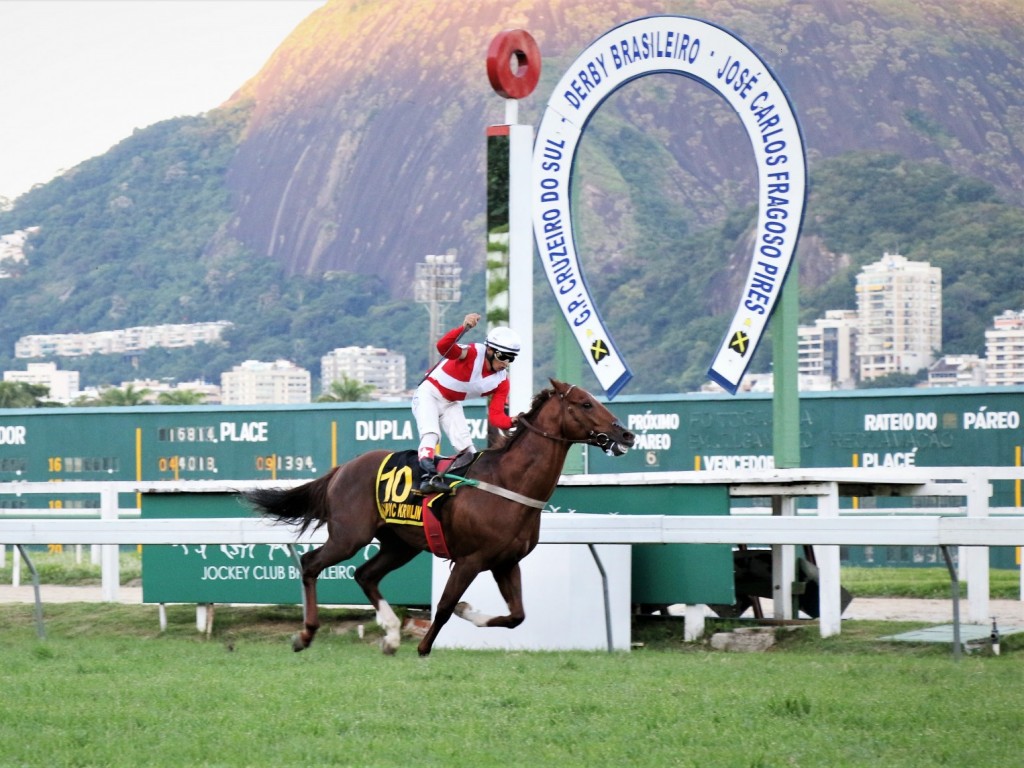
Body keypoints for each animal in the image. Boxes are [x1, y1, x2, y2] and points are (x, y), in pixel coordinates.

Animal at [243, 378, 634, 655]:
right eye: (586, 403)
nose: (626, 433)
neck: (507, 482)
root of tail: (343, 468)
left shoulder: (506, 562)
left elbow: (516, 616)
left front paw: (464, 612)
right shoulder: (470, 559)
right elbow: (444, 605)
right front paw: (424, 645)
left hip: (400, 544)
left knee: (365, 574)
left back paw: (390, 635)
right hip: (349, 535)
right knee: (311, 563)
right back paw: (306, 634)